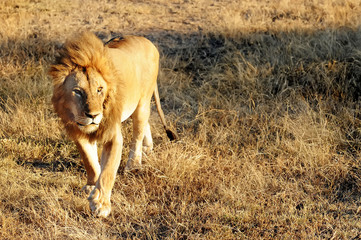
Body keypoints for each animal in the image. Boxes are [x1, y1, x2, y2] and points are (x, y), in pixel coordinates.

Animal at [48, 31, 176, 217]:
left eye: (99, 89)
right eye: (78, 91)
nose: (93, 115)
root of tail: (148, 42)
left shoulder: (113, 135)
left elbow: (108, 170)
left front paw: (101, 204)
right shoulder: (79, 132)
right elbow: (90, 161)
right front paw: (92, 185)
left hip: (142, 102)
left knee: (138, 133)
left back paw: (134, 165)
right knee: (146, 125)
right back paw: (147, 148)